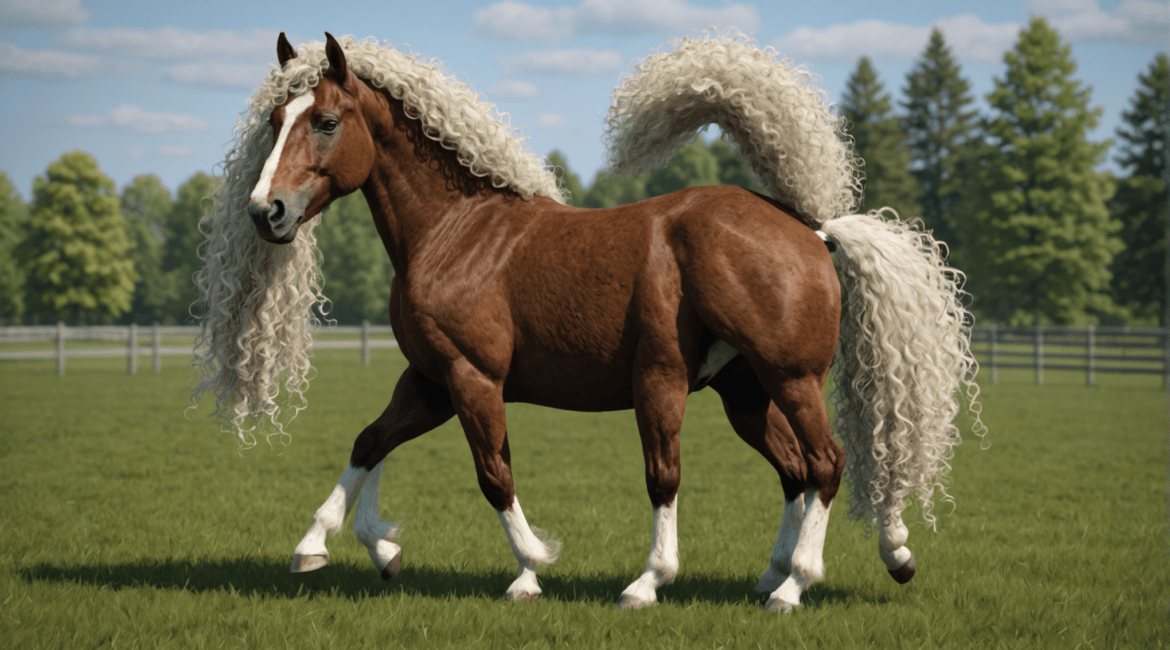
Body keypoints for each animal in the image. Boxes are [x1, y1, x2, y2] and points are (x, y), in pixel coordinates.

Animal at [192, 31, 981, 613]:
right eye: (274, 121)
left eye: (326, 121)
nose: (266, 212)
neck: (457, 231)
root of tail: (811, 230)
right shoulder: (430, 379)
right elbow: (369, 442)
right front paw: (343, 546)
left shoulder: (475, 379)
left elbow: (502, 474)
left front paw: (540, 570)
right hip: (746, 395)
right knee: (794, 472)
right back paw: (788, 571)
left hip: (787, 379)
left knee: (824, 464)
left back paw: (792, 586)